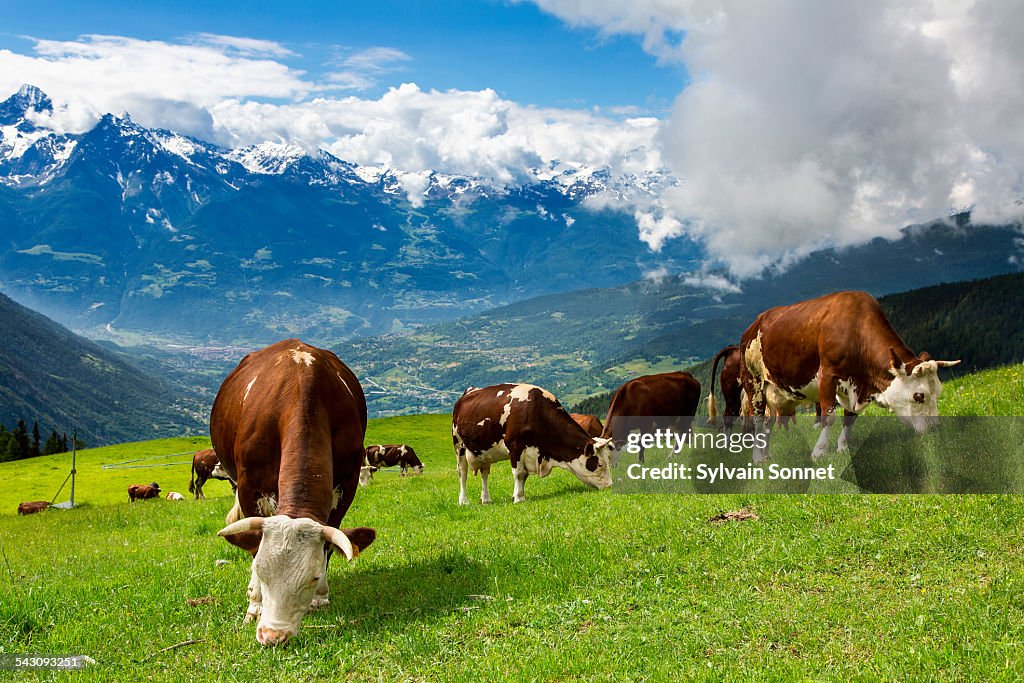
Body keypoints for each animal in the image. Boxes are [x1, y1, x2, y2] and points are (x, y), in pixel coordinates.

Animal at [210, 339, 375, 647]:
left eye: (313, 578)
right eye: (262, 571)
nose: (272, 635)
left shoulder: (346, 484)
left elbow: (330, 543)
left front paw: (320, 598)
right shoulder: (249, 487)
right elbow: (254, 547)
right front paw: (256, 603)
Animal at [452, 383, 614, 504]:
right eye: (600, 464)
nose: (610, 486)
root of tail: (469, 392)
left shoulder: (531, 452)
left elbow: (524, 475)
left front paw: (519, 495)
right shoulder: (515, 446)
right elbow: (518, 473)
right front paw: (518, 498)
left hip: (484, 452)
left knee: (484, 473)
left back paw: (486, 499)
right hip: (459, 445)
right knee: (462, 473)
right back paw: (463, 501)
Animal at [739, 290, 959, 462]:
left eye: (938, 393)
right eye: (918, 396)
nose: (935, 428)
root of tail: (753, 325)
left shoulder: (854, 385)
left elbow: (850, 418)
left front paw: (843, 446)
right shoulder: (827, 376)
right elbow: (829, 417)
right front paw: (820, 451)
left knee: (767, 423)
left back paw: (765, 454)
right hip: (754, 383)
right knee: (758, 419)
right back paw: (758, 458)